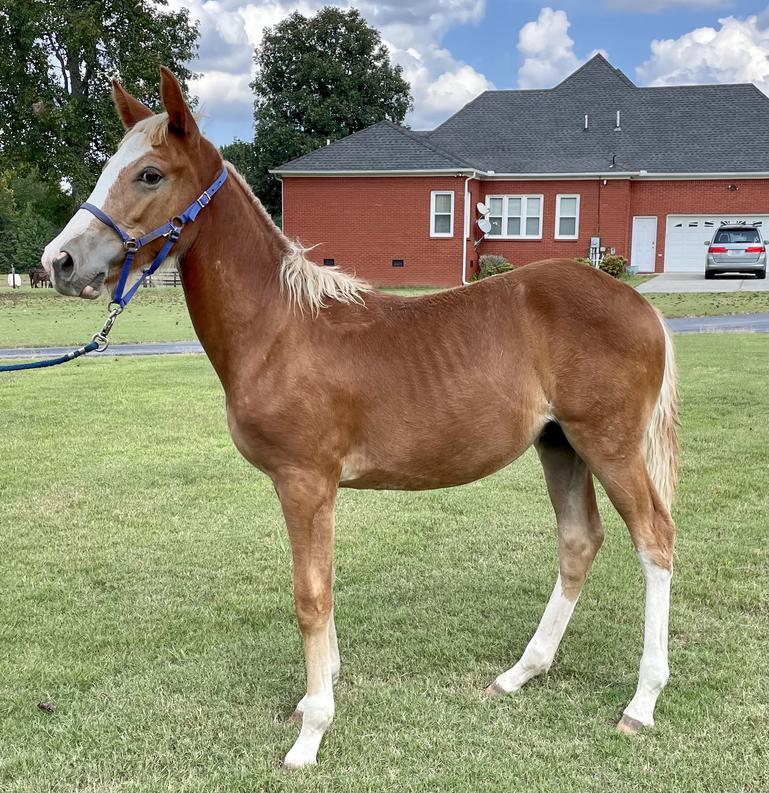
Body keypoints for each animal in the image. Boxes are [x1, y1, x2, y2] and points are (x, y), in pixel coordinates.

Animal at [41, 68, 678, 769]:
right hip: (560, 445)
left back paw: (642, 703)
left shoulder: (304, 482)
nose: (58, 261)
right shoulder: (317, 489)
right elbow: (324, 586)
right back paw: (519, 674)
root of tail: (641, 306)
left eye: (149, 174)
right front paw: (316, 695)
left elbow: (309, 597)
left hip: (608, 445)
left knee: (655, 541)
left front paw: (311, 731)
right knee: (579, 541)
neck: (280, 328)